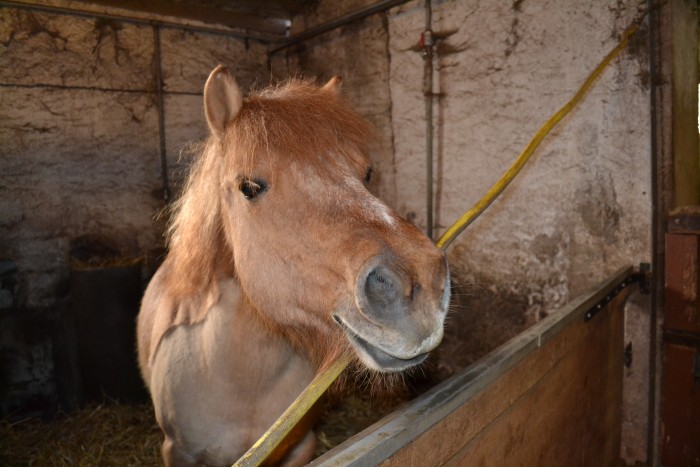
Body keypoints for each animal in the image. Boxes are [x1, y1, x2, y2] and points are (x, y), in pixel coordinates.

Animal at [136, 66, 452, 467]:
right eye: (249, 187)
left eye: (367, 173)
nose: (420, 282)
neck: (243, 383)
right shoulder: (178, 452)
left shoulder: (301, 447)